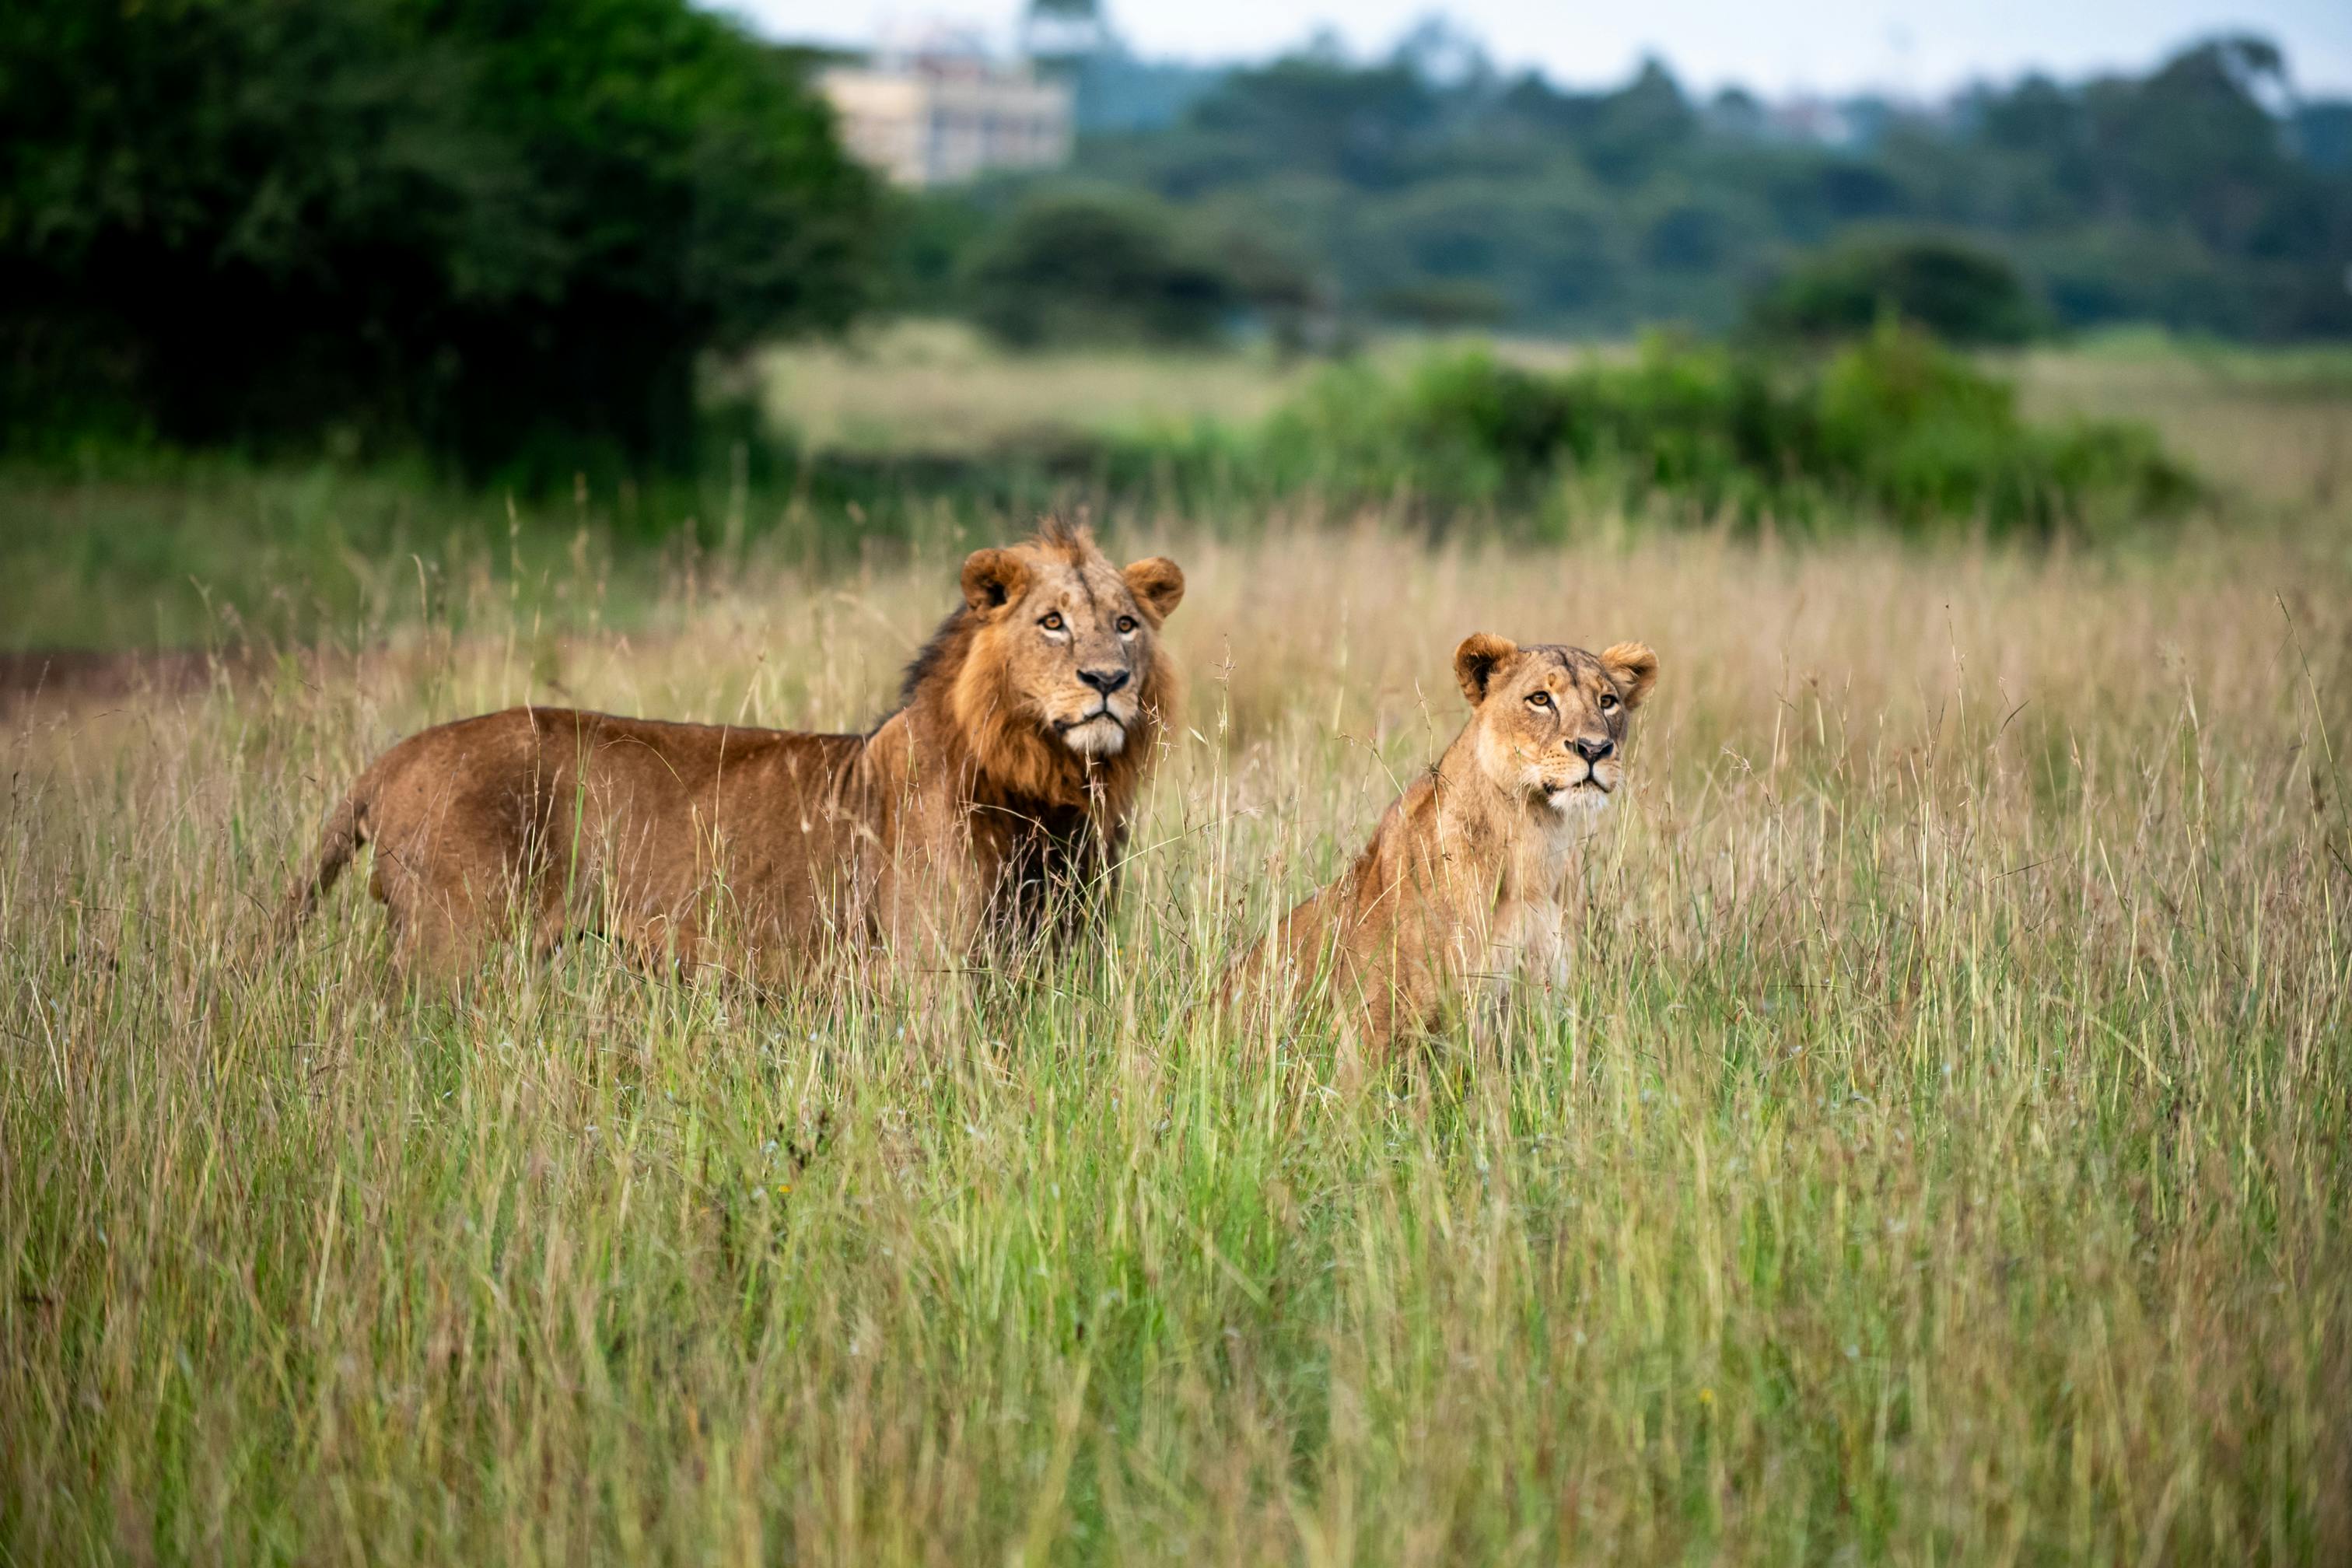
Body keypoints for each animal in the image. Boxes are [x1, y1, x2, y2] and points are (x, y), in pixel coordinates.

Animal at [284, 521, 1185, 973]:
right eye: (1052, 622)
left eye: (1126, 624)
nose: (1108, 680)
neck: (1049, 788)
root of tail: (392, 759)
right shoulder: (929, 974)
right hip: (456, 945)